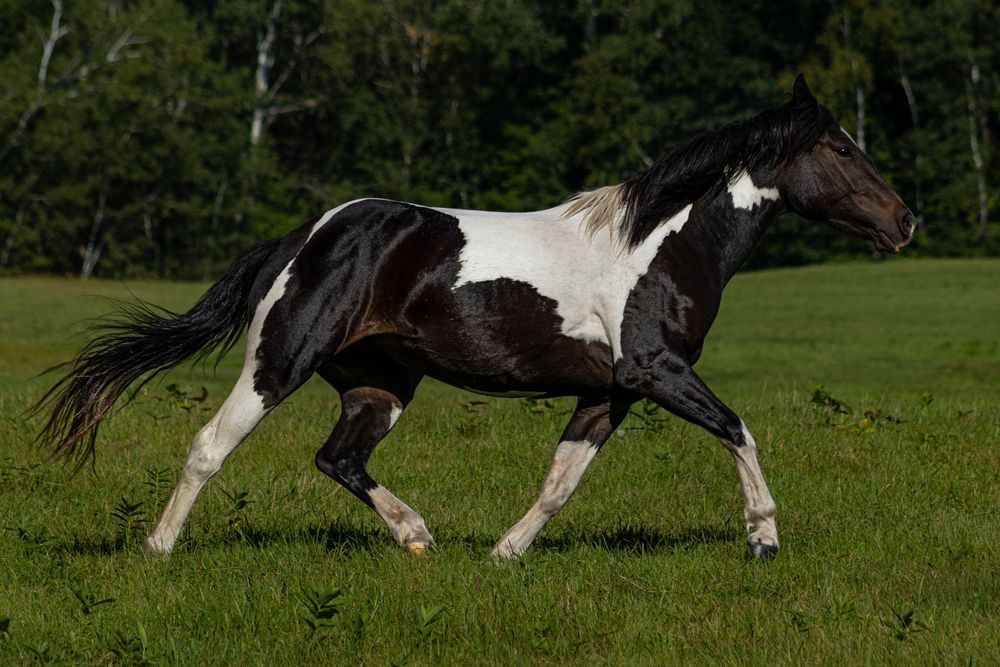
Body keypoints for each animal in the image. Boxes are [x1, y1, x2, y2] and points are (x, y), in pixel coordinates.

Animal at [35, 75, 914, 560]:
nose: (905, 222)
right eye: (840, 148)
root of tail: (310, 233)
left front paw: (504, 552)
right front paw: (763, 537)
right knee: (209, 447)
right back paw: (157, 549)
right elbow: (737, 426)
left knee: (337, 459)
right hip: (278, 362)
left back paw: (418, 534)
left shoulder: (611, 391)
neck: (659, 245)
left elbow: (560, 482)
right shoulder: (655, 370)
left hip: (381, 386)